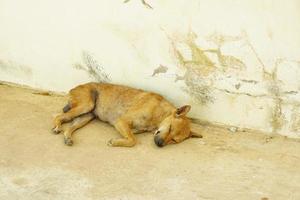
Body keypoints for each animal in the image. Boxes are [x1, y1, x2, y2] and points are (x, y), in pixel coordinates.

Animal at [52, 81, 202, 147]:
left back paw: (68, 138)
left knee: (69, 127)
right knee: (58, 116)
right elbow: (132, 141)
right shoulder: (121, 121)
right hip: (86, 105)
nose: (160, 144)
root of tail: (74, 87)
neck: (159, 114)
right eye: (170, 128)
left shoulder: (130, 128)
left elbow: (131, 137)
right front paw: (115, 142)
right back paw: (57, 127)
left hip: (86, 116)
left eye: (174, 140)